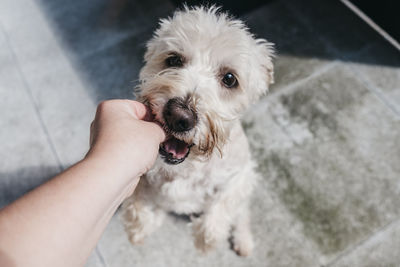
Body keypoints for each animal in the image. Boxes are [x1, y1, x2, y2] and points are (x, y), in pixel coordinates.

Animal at [121, 5, 272, 258]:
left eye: (229, 78)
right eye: (173, 59)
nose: (179, 117)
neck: (187, 170)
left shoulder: (242, 174)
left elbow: (223, 207)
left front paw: (206, 240)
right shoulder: (145, 179)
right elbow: (139, 203)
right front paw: (141, 227)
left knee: (242, 214)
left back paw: (244, 240)